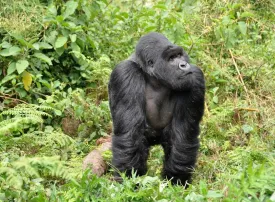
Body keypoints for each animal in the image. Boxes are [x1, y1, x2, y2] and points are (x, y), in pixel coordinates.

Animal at [109, 32, 206, 185]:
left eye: (179, 55)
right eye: (171, 58)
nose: (184, 65)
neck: (155, 79)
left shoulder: (194, 76)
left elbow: (183, 135)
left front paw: (176, 180)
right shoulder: (125, 74)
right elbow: (130, 135)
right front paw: (129, 181)